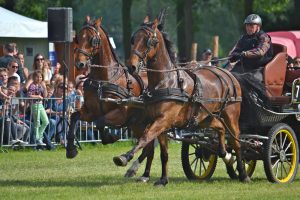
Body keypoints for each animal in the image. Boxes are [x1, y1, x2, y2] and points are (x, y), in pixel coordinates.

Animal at [67, 16, 157, 180]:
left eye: (93, 40)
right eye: (77, 38)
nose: (80, 63)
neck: (103, 79)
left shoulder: (120, 113)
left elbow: (100, 122)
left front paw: (111, 137)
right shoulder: (90, 111)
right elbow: (75, 116)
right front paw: (71, 149)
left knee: (149, 145)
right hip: (138, 123)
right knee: (148, 146)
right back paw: (139, 172)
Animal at [113, 14, 250, 186]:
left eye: (149, 41)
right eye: (133, 39)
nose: (131, 66)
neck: (166, 82)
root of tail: (228, 74)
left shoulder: (163, 120)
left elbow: (145, 138)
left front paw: (124, 157)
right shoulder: (161, 123)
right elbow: (163, 153)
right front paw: (163, 179)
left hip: (231, 115)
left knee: (236, 141)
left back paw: (243, 173)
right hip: (203, 117)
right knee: (220, 128)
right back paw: (225, 153)